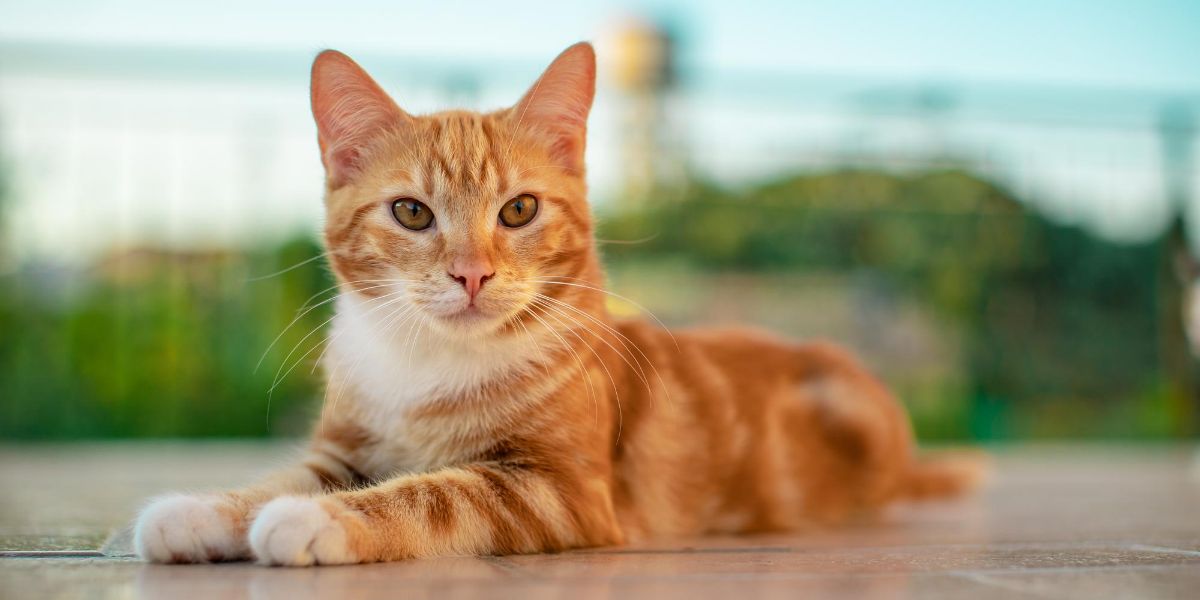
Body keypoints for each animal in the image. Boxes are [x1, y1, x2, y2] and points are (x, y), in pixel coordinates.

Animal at [133, 43, 974, 566]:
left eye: (518, 210)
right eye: (410, 213)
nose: (471, 276)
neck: (429, 364)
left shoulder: (560, 491)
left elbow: (437, 494)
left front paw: (322, 520)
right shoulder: (341, 451)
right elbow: (279, 478)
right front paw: (201, 510)